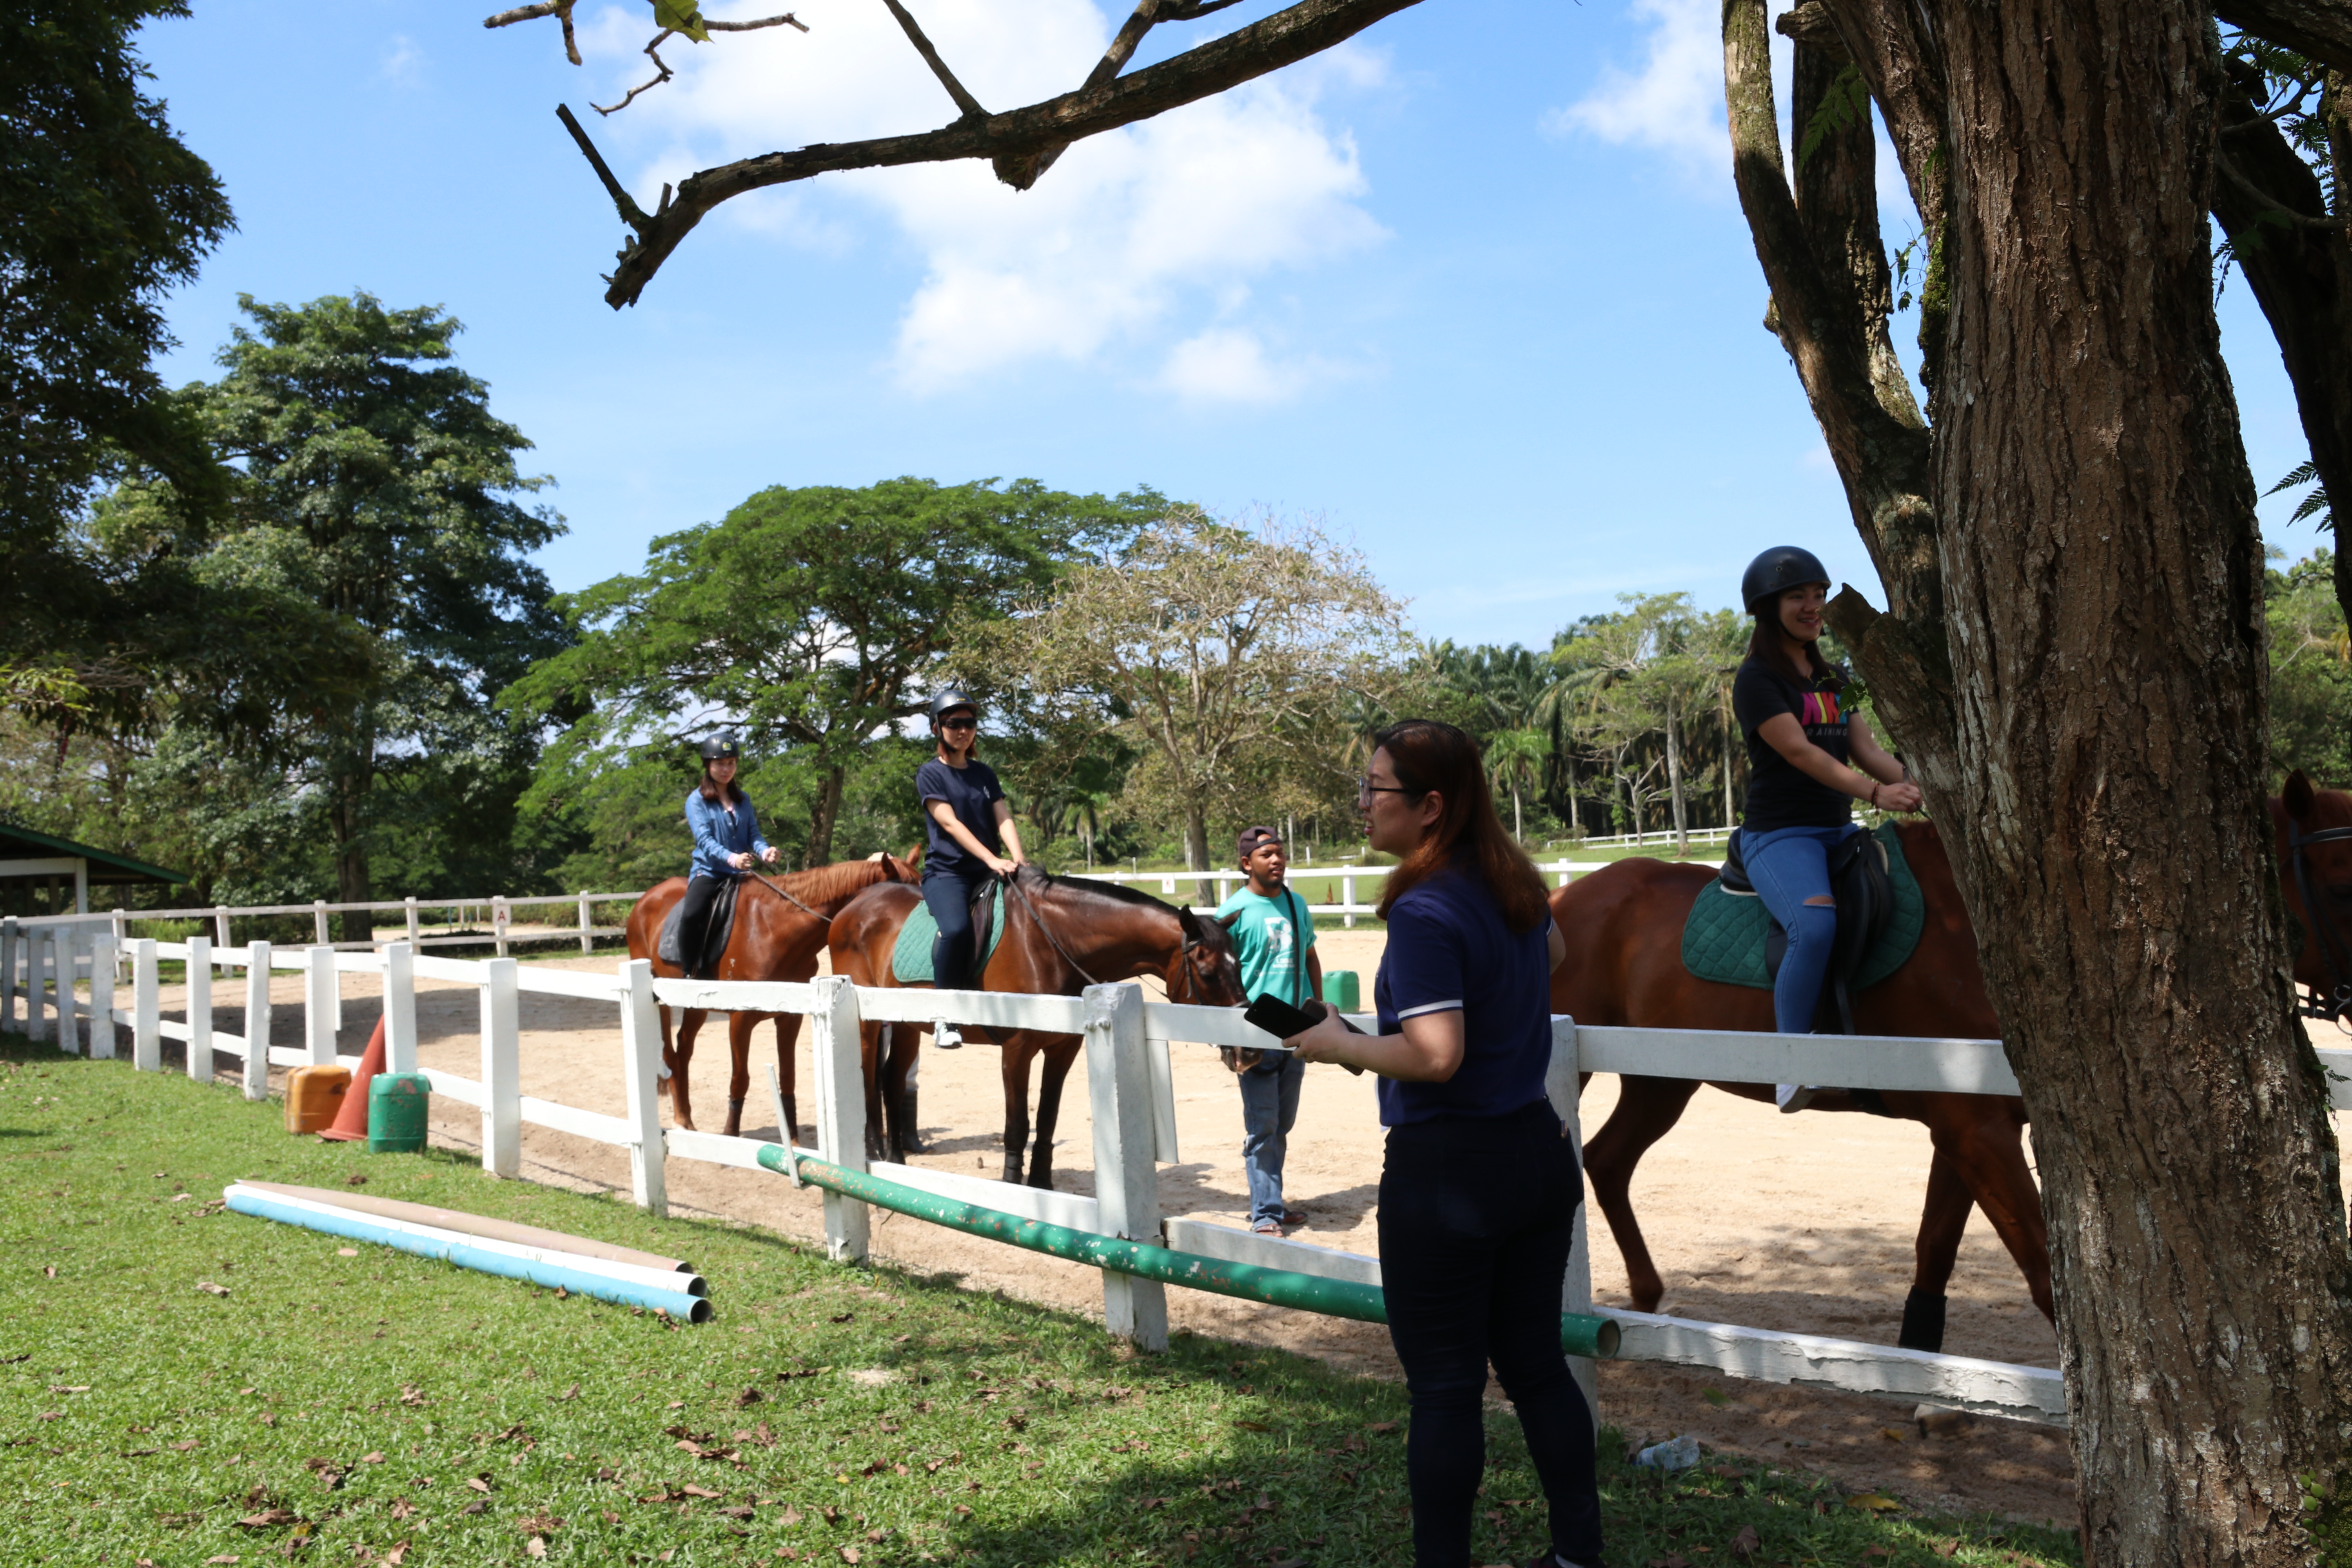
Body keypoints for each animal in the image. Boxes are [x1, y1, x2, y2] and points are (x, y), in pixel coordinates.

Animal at [624, 853, 917, 1141]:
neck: (773, 929)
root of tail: (646, 898)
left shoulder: (790, 1018)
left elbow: (788, 1077)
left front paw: (794, 1140)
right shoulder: (740, 1020)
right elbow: (740, 1079)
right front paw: (731, 1136)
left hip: (697, 1005)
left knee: (683, 1050)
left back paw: (685, 1118)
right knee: (674, 1054)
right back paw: (683, 1120)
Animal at [826, 865, 1248, 1186]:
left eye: (1240, 964)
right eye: (1208, 974)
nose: (1249, 1053)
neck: (1052, 943)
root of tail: (853, 908)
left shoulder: (1063, 1049)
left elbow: (1047, 1120)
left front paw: (1042, 1184)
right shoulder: (1017, 1050)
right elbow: (1018, 1124)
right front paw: (1015, 1185)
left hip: (908, 1024)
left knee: (893, 1079)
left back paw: (896, 1160)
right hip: (867, 1023)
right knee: (866, 1080)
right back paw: (870, 1152)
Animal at [1556, 774, 2352, 1353]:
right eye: (2342, 881)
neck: (1975, 934)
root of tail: (1566, 895)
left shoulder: (1968, 1128)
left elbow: (1934, 1252)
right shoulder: (1977, 1130)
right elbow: (2044, 1280)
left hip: (1660, 1080)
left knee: (1607, 1161)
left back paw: (1646, 1301)